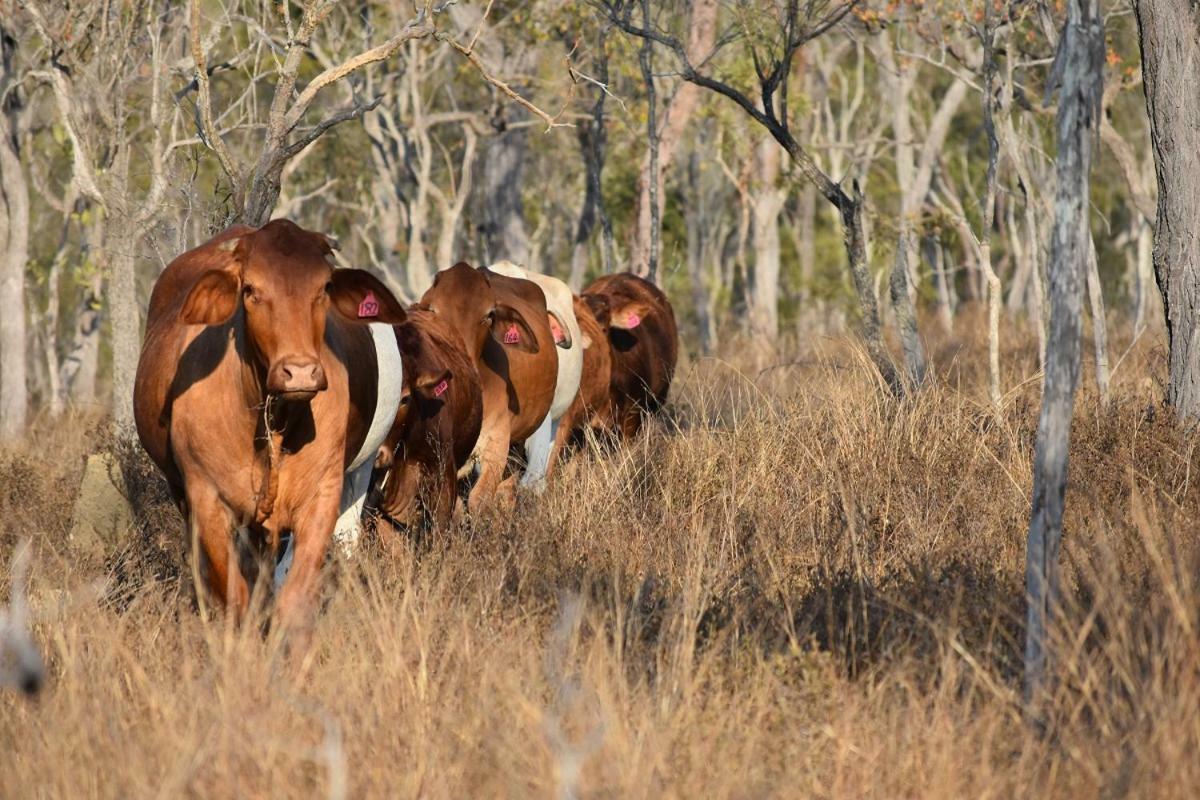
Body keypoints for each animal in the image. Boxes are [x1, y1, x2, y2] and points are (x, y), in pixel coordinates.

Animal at [135, 217, 408, 638]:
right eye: (250, 290)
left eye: (324, 288)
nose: (300, 371)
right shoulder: (207, 499)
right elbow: (234, 596)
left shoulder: (321, 496)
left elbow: (293, 598)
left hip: (359, 471)